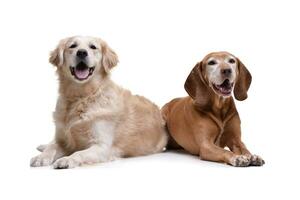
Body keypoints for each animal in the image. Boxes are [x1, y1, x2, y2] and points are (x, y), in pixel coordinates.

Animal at [30, 35, 169, 169]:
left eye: (93, 47)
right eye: (73, 46)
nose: (81, 52)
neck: (81, 97)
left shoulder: (102, 146)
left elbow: (79, 153)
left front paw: (67, 159)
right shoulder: (63, 139)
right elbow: (53, 147)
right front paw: (41, 157)